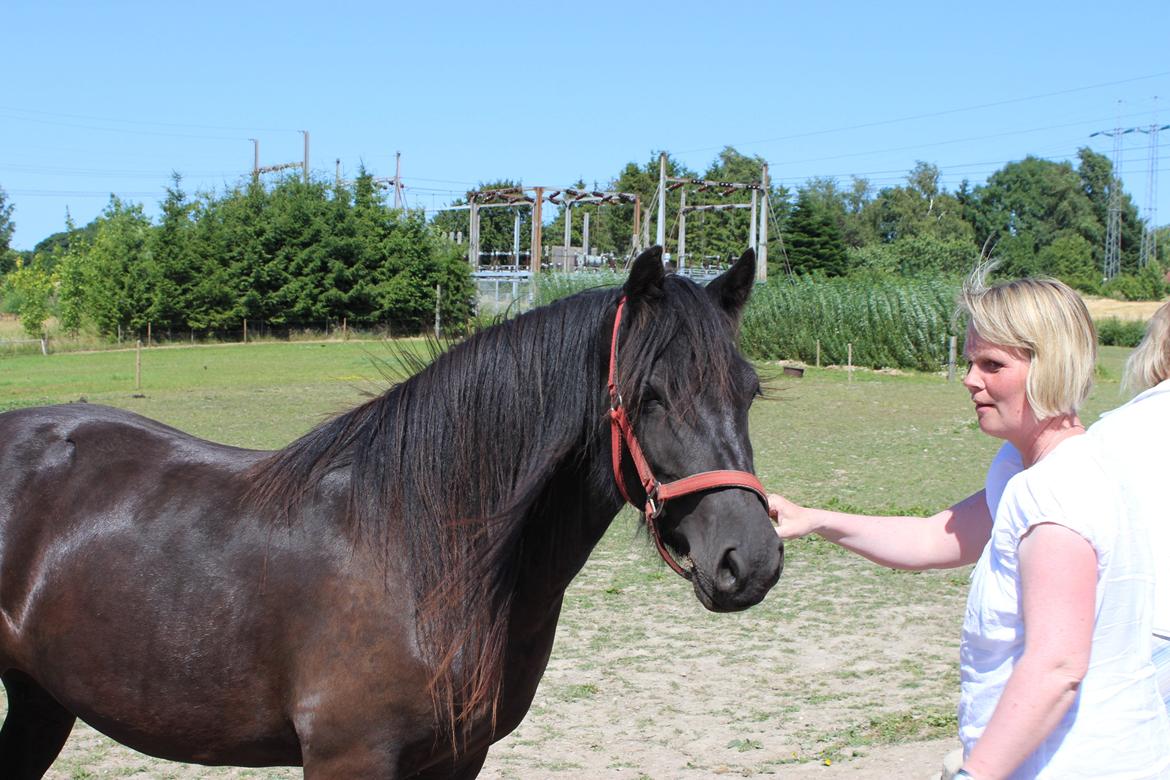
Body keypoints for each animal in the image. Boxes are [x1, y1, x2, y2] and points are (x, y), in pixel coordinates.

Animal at [0, 246, 783, 779]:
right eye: (650, 397)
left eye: (749, 391)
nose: (751, 560)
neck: (421, 553)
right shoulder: (350, 758)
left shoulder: (457, 760)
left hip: (40, 702)